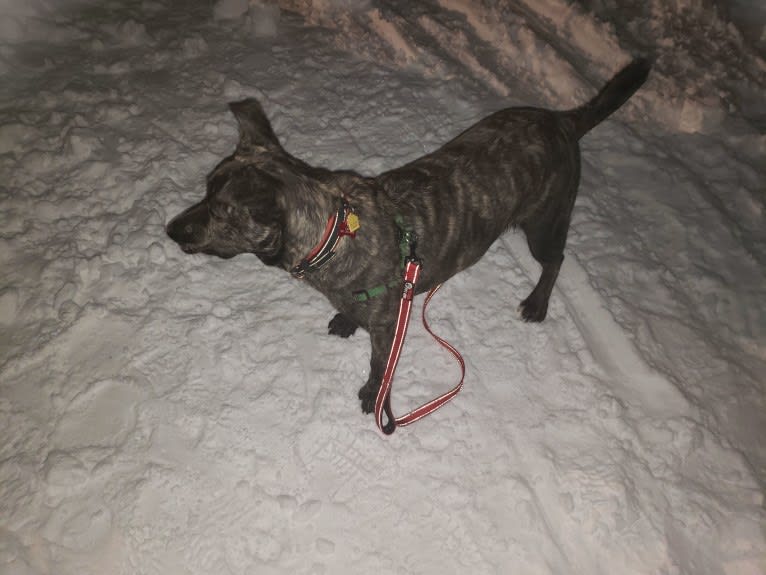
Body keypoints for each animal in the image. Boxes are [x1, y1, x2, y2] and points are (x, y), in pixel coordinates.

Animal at [168, 59, 656, 414]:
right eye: (205, 191)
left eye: (220, 210)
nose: (170, 229)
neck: (334, 234)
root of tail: (562, 120)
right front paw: (346, 319)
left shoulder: (388, 327)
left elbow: (379, 364)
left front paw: (372, 394)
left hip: (546, 222)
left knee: (556, 260)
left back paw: (537, 303)